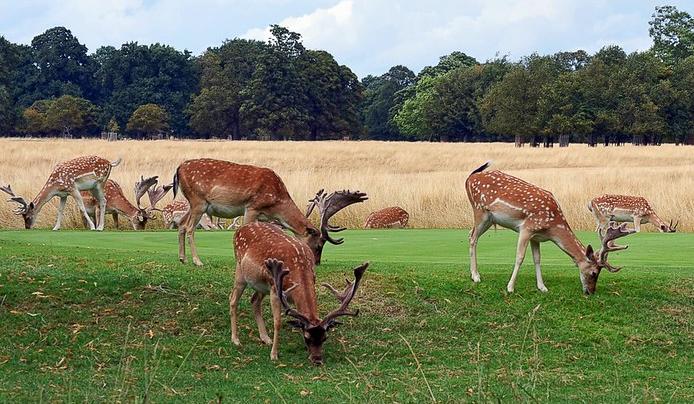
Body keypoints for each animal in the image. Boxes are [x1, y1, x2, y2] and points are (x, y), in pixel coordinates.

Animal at [173, 158, 367, 266]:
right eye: (319, 245)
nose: (317, 262)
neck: (277, 204)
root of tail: (178, 168)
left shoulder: (264, 216)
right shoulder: (252, 207)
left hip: (193, 203)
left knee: (181, 224)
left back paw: (182, 258)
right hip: (198, 201)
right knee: (189, 228)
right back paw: (197, 261)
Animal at [230, 221, 369, 364]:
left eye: (325, 337)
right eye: (307, 337)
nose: (317, 360)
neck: (299, 268)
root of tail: (240, 228)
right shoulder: (275, 289)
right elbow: (277, 322)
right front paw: (274, 355)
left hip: (262, 285)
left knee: (254, 300)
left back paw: (265, 338)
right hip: (241, 270)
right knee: (233, 299)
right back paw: (235, 339)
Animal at [466, 162, 635, 294]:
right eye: (594, 272)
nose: (591, 292)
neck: (552, 227)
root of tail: (470, 178)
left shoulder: (536, 236)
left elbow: (537, 259)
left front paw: (542, 287)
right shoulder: (527, 228)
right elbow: (520, 257)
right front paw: (510, 287)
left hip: (489, 219)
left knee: (470, 234)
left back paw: (474, 274)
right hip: (479, 210)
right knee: (473, 237)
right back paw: (476, 276)